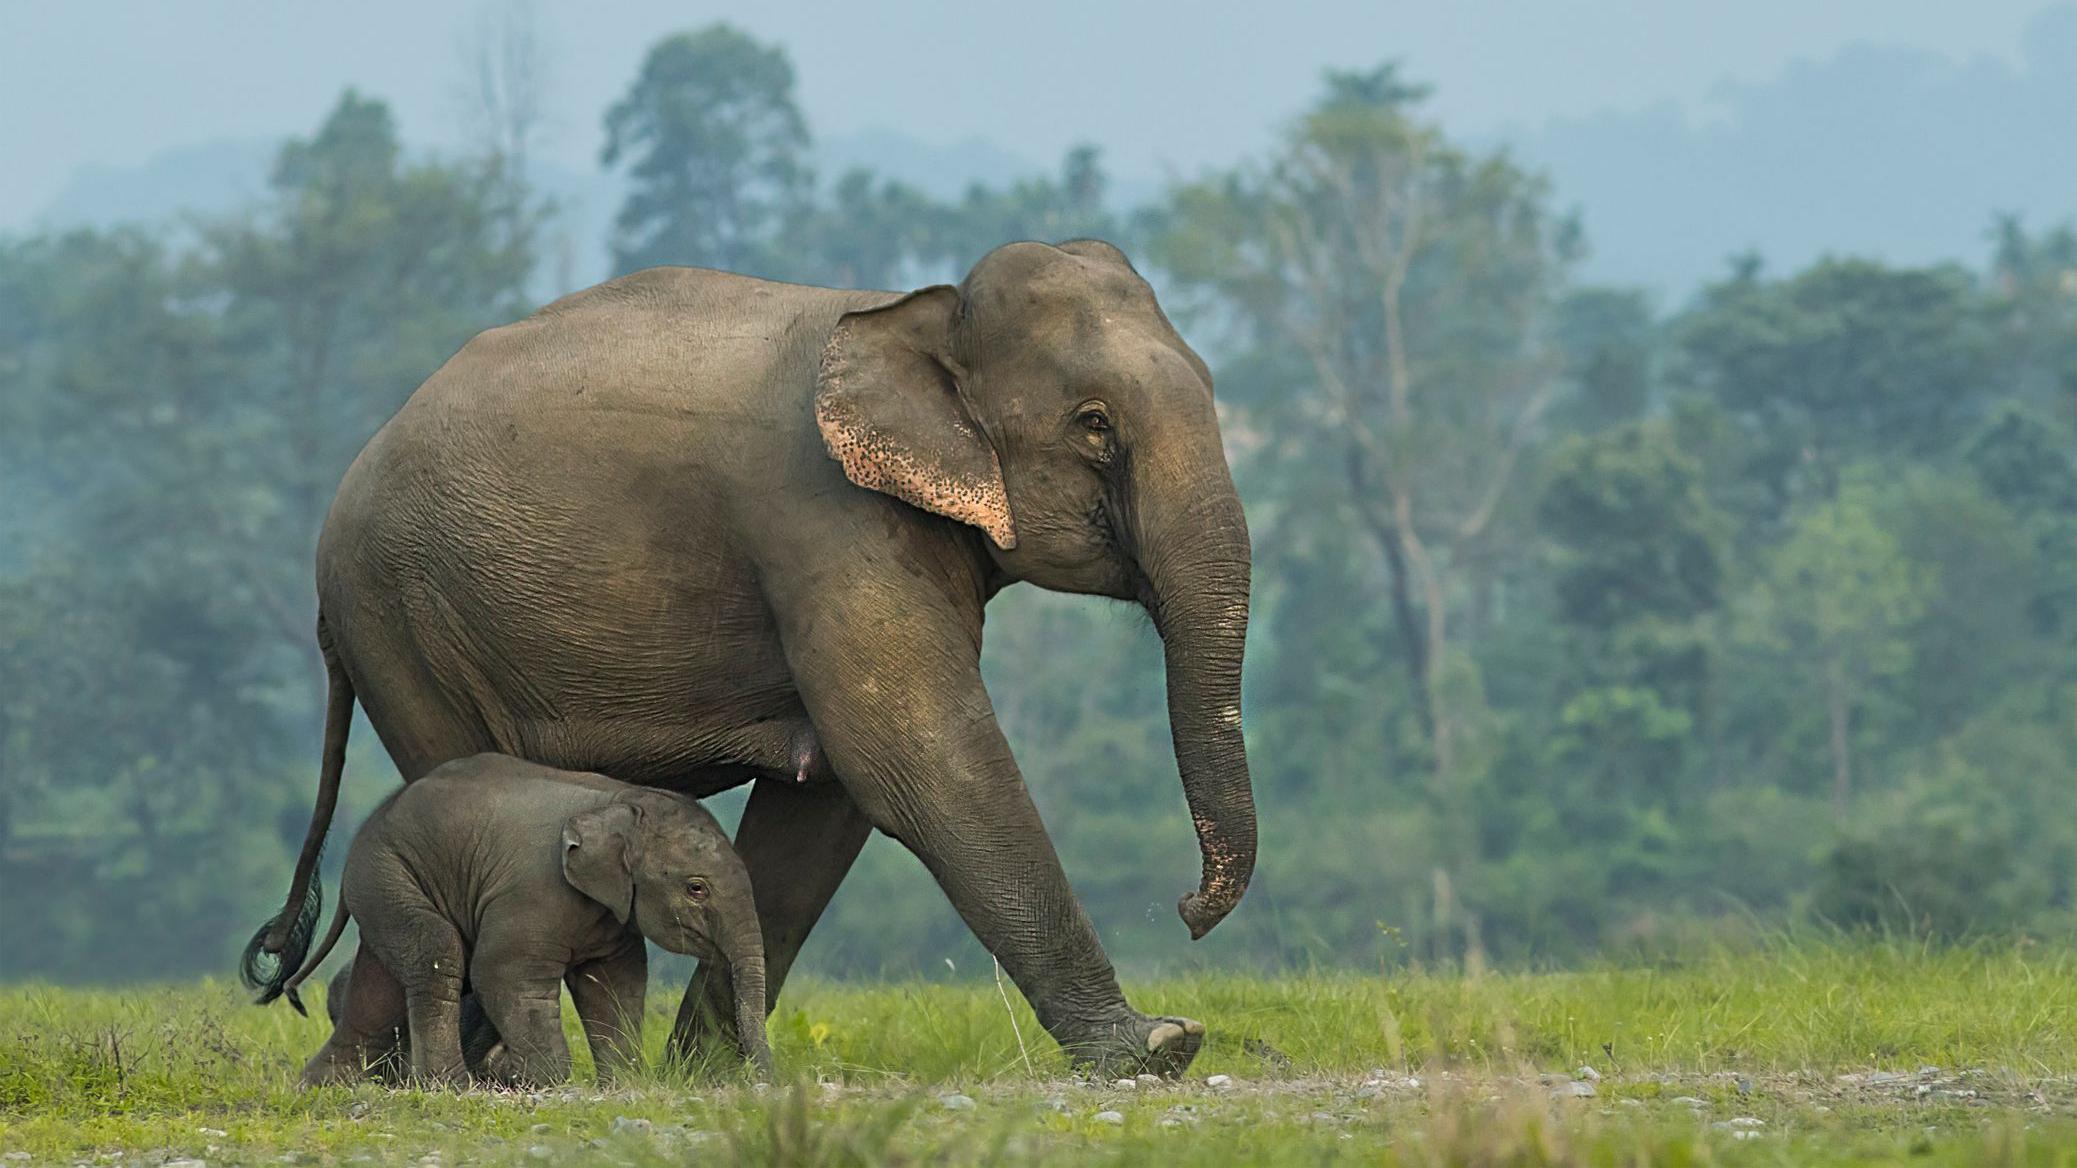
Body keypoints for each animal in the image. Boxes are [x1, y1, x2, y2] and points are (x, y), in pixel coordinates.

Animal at [276, 748, 764, 1089]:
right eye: (697, 889)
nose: (765, 1080)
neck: (621, 799)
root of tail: (368, 825)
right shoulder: (535, 891)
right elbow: (501, 971)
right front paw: (530, 1078)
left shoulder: (614, 916)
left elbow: (614, 983)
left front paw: (622, 1082)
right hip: (389, 871)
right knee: (438, 952)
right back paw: (452, 1087)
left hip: (385, 883)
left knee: (380, 988)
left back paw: (320, 1086)